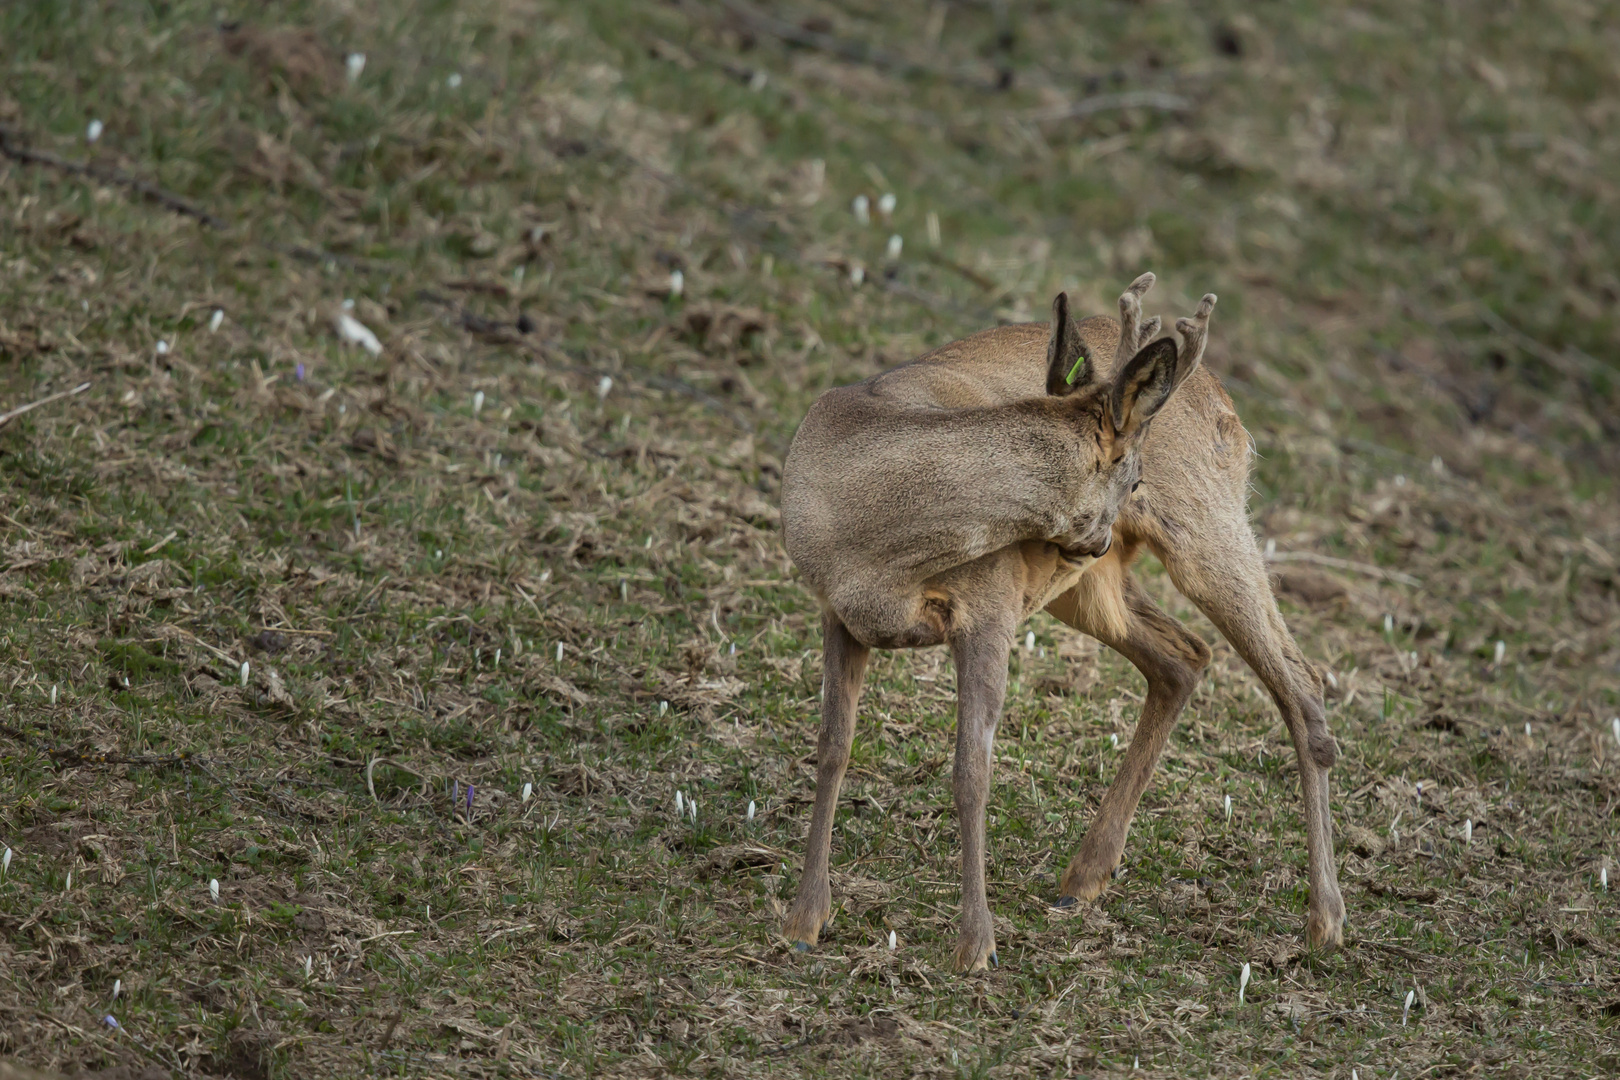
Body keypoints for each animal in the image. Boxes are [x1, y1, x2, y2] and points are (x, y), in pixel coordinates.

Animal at [774, 270, 1341, 971]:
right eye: (1131, 479)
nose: (1100, 536)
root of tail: (1220, 395)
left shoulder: (989, 607)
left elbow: (971, 771)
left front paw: (977, 946)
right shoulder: (835, 609)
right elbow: (832, 747)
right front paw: (804, 919)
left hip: (1207, 528)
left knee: (1300, 680)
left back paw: (1325, 920)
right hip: (1090, 591)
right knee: (1185, 655)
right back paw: (1084, 876)